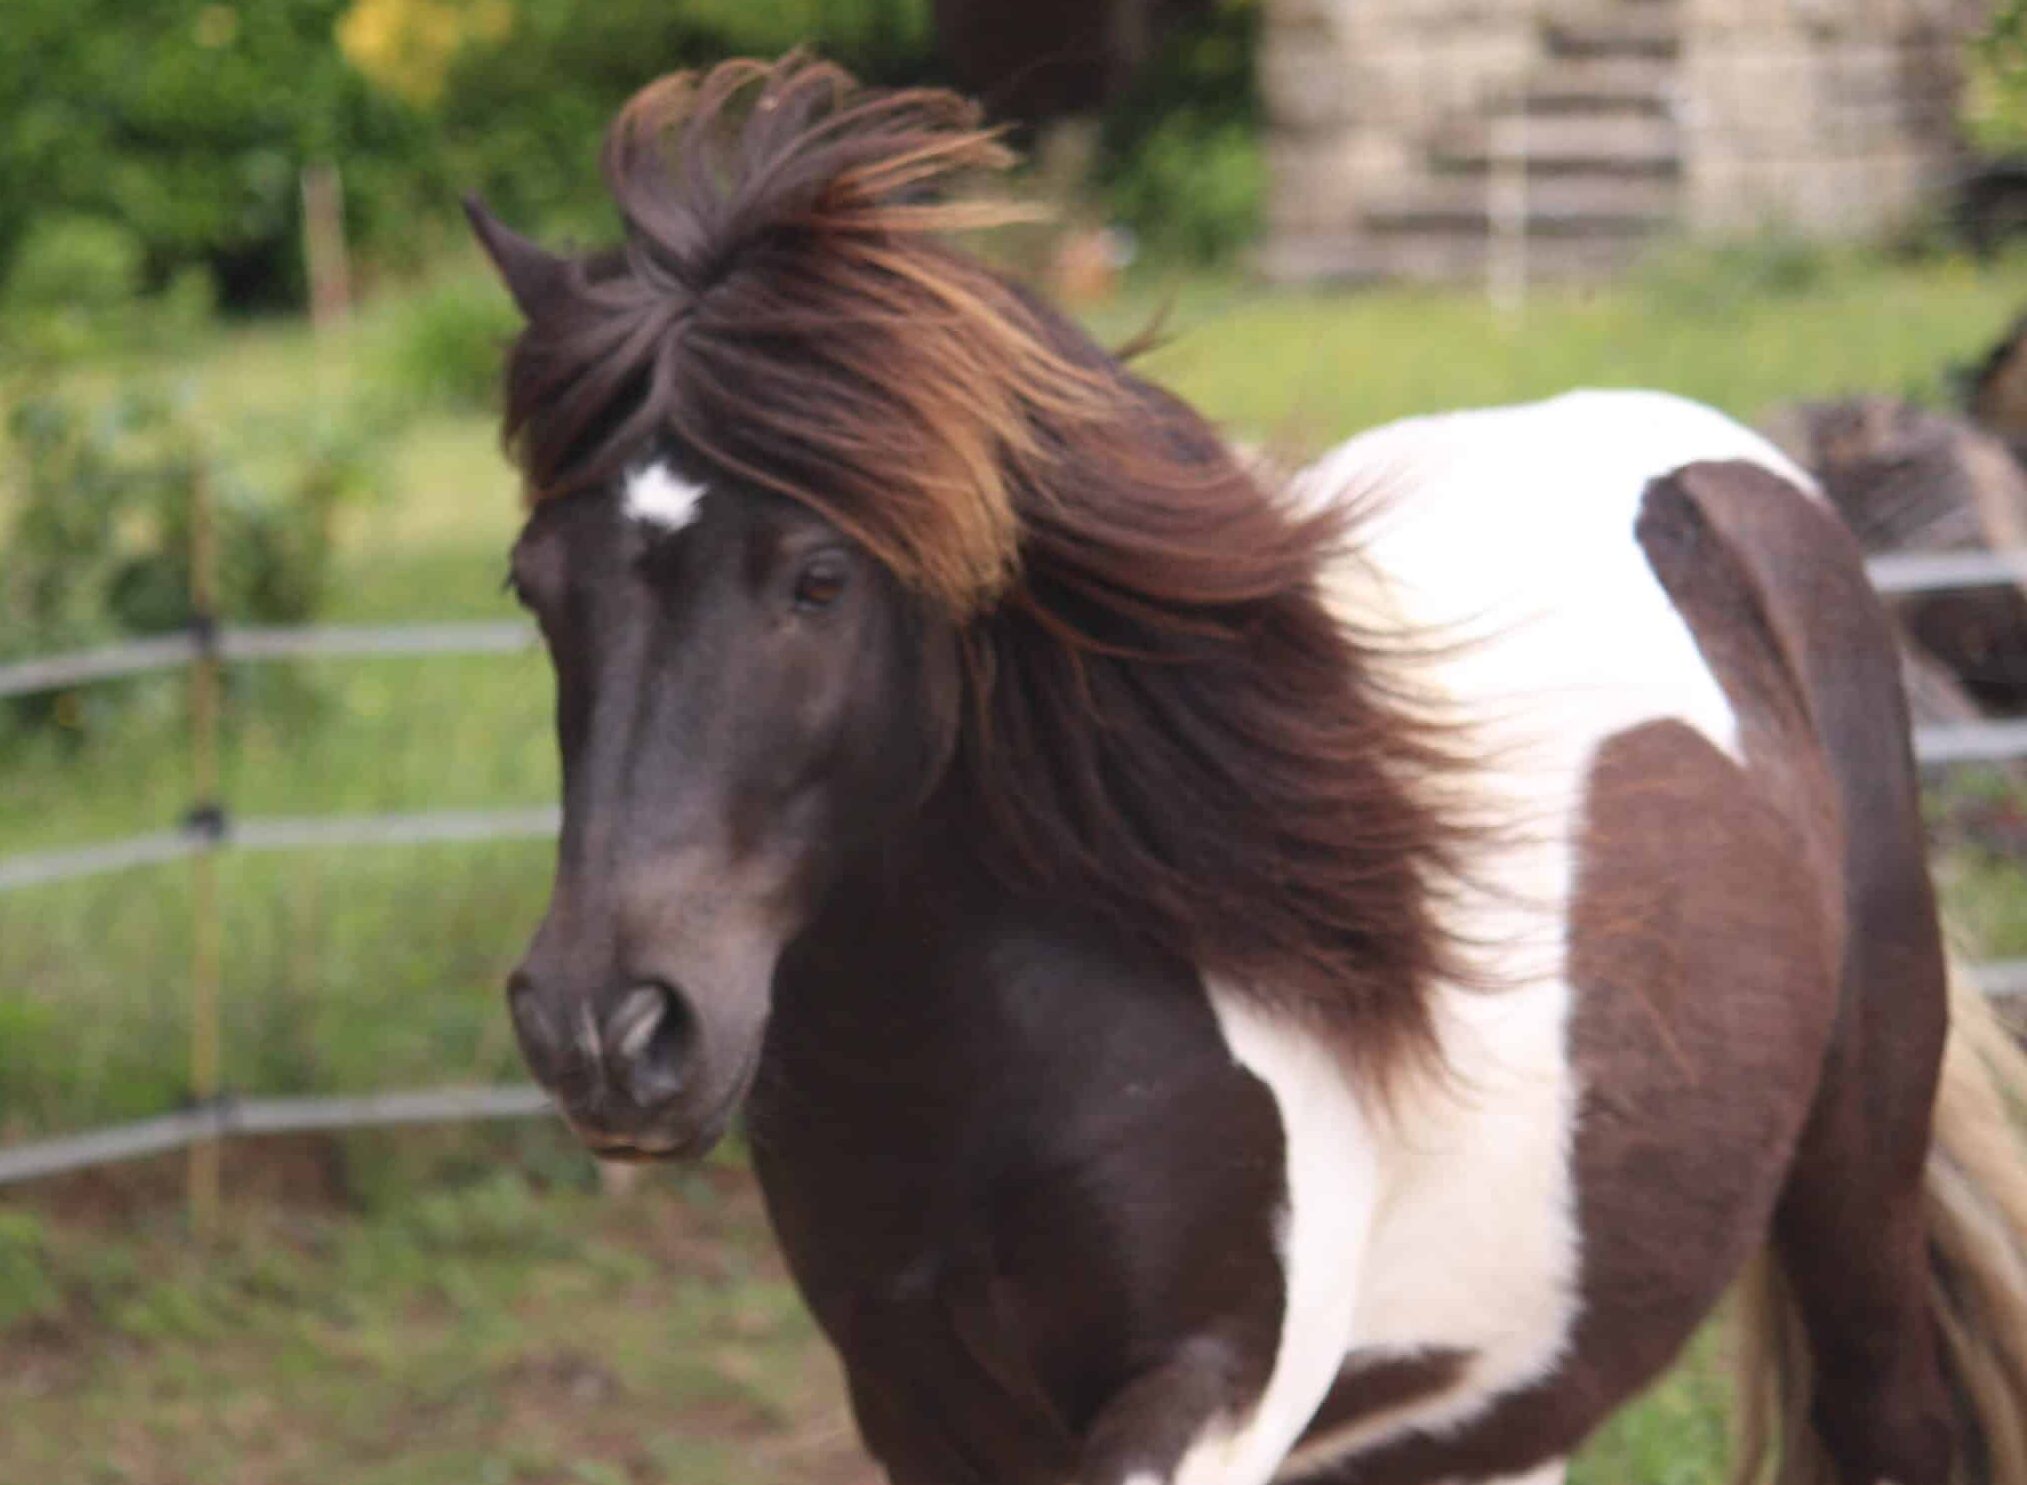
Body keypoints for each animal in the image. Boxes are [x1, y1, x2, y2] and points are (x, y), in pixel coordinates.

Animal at [469, 55, 2027, 1485]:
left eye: (815, 578)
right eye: (536, 586)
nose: (604, 1029)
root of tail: (1750, 481)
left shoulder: (1208, 1389)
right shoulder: (913, 1406)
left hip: (1852, 1201)